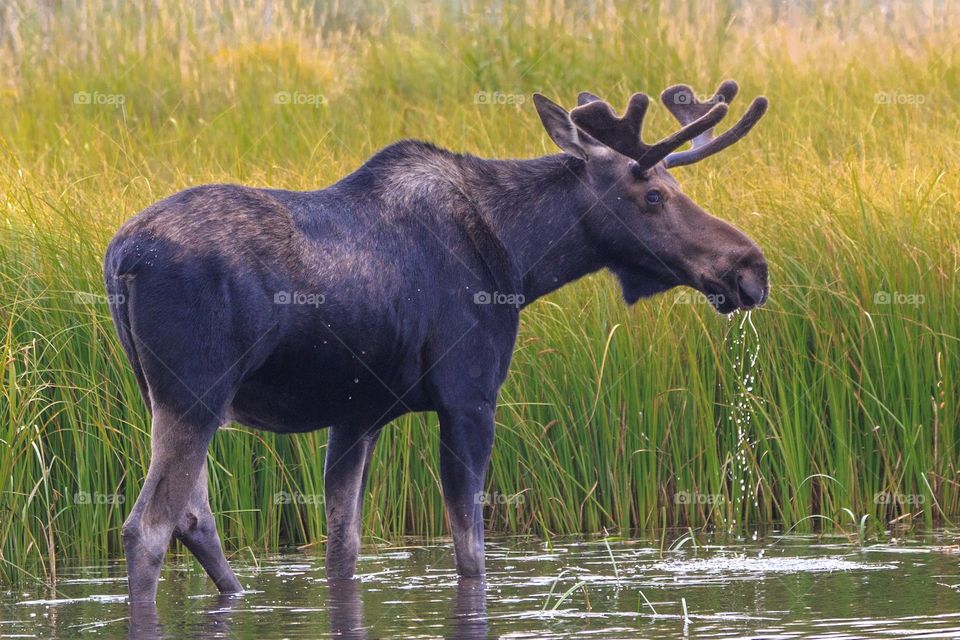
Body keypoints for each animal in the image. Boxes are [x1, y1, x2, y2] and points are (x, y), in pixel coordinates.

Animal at [104, 80, 768, 603]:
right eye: (653, 196)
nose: (749, 267)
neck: (522, 261)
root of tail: (119, 259)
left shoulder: (358, 414)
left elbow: (343, 549)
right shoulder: (468, 397)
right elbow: (470, 555)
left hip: (168, 397)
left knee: (195, 517)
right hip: (195, 392)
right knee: (147, 528)